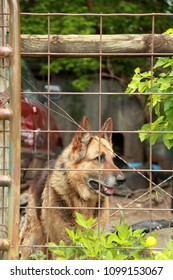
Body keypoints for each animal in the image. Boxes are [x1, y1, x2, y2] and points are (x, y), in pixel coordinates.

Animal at [19, 115, 125, 258]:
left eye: (113, 159)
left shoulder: (92, 245)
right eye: (99, 158)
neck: (82, 200)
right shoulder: (62, 246)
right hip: (31, 238)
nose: (122, 180)